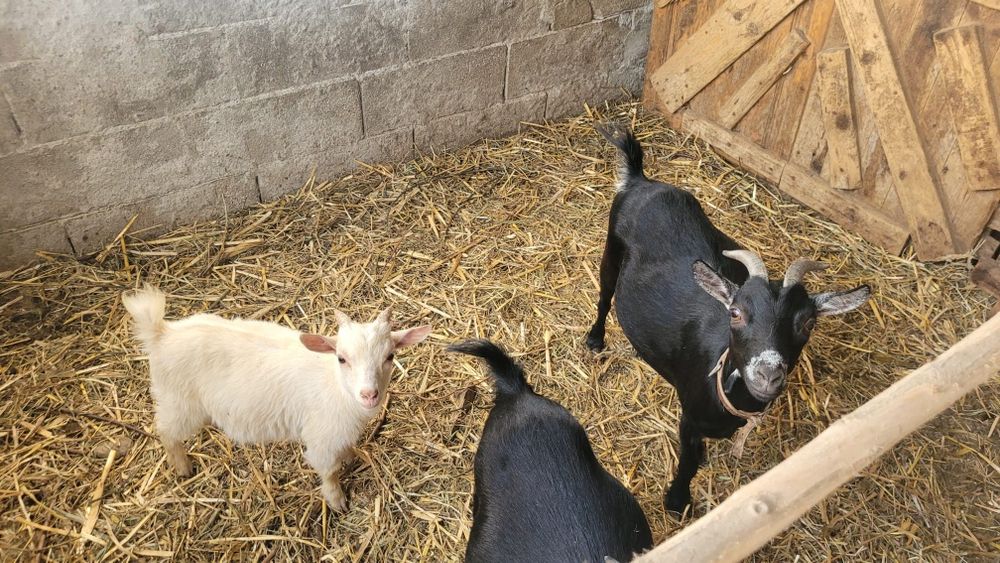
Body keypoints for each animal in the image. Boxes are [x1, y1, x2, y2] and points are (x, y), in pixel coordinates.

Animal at [122, 285, 431, 511]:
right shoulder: (321, 438)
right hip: (178, 401)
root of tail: (161, 334)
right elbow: (329, 471)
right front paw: (337, 501)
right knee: (166, 431)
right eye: (341, 358)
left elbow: (346, 451)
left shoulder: (339, 433)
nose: (369, 394)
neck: (336, 386)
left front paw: (351, 458)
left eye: (390, 356)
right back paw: (183, 467)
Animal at [585, 125, 871, 515]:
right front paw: (677, 502)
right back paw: (595, 340)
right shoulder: (689, 418)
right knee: (604, 295)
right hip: (612, 248)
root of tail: (641, 181)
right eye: (735, 312)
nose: (767, 374)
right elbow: (690, 461)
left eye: (807, 323)